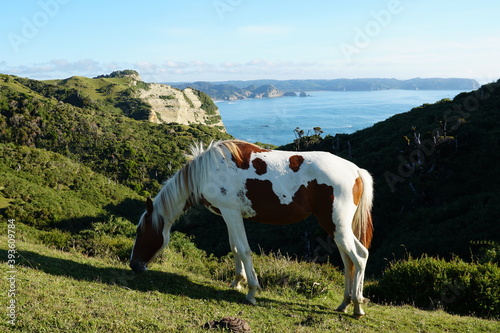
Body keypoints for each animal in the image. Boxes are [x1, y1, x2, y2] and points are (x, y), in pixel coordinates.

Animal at [131, 139, 374, 316]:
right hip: (336, 229)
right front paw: (238, 282)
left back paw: (357, 306)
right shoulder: (229, 215)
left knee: (360, 256)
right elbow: (234, 247)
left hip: (338, 227)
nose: (134, 265)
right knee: (348, 261)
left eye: (140, 232)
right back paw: (345, 303)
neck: (209, 171)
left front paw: (251, 291)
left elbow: (244, 250)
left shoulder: (231, 213)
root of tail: (356, 171)